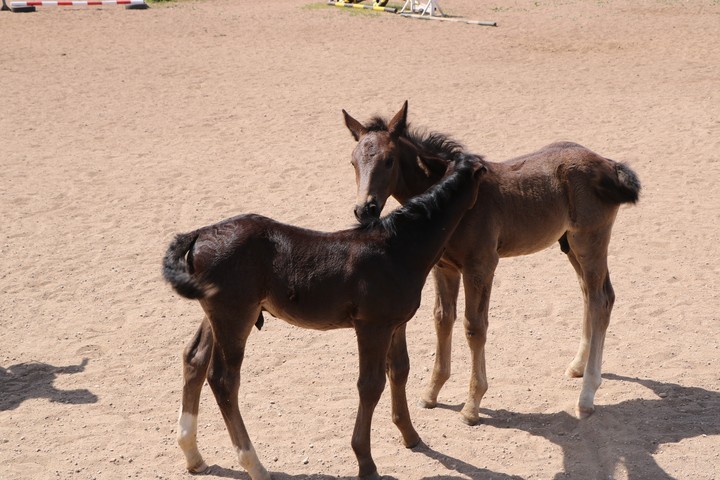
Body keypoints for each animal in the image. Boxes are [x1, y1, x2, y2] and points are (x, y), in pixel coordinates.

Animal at [162, 153, 487, 480]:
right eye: (483, 179)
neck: (397, 249)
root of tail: (200, 234)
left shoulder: (396, 324)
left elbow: (399, 372)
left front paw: (410, 436)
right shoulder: (372, 326)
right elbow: (370, 386)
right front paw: (366, 462)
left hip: (218, 315)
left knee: (194, 359)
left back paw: (193, 455)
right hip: (235, 317)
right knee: (224, 380)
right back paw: (255, 465)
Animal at [342, 101, 641, 425]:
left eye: (389, 161)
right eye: (353, 162)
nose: (365, 209)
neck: (454, 199)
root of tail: (608, 164)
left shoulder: (481, 266)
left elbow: (474, 327)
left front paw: (472, 405)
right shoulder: (444, 268)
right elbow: (442, 319)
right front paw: (432, 392)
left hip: (590, 240)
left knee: (600, 300)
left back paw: (586, 396)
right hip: (570, 245)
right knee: (592, 294)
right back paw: (577, 366)